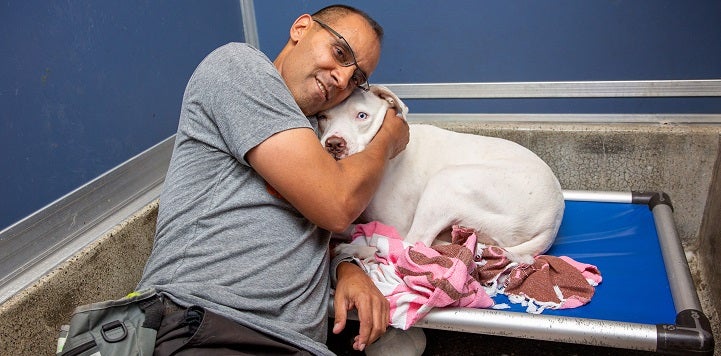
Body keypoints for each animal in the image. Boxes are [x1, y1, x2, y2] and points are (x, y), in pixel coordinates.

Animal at [320, 86, 564, 264]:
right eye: (322, 117)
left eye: (362, 116)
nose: (333, 144)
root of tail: (553, 220)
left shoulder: (397, 225)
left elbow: (390, 238)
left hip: (446, 183)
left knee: (410, 246)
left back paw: (356, 248)